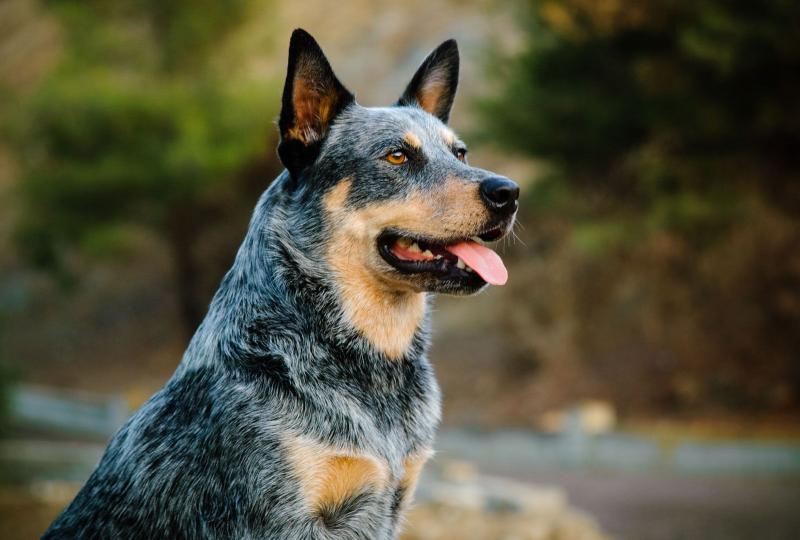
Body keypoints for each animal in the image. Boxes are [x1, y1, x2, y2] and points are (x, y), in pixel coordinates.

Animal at [43, 30, 520, 540]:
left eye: (459, 153)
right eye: (397, 155)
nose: (508, 192)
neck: (370, 365)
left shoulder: (392, 501)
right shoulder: (283, 517)